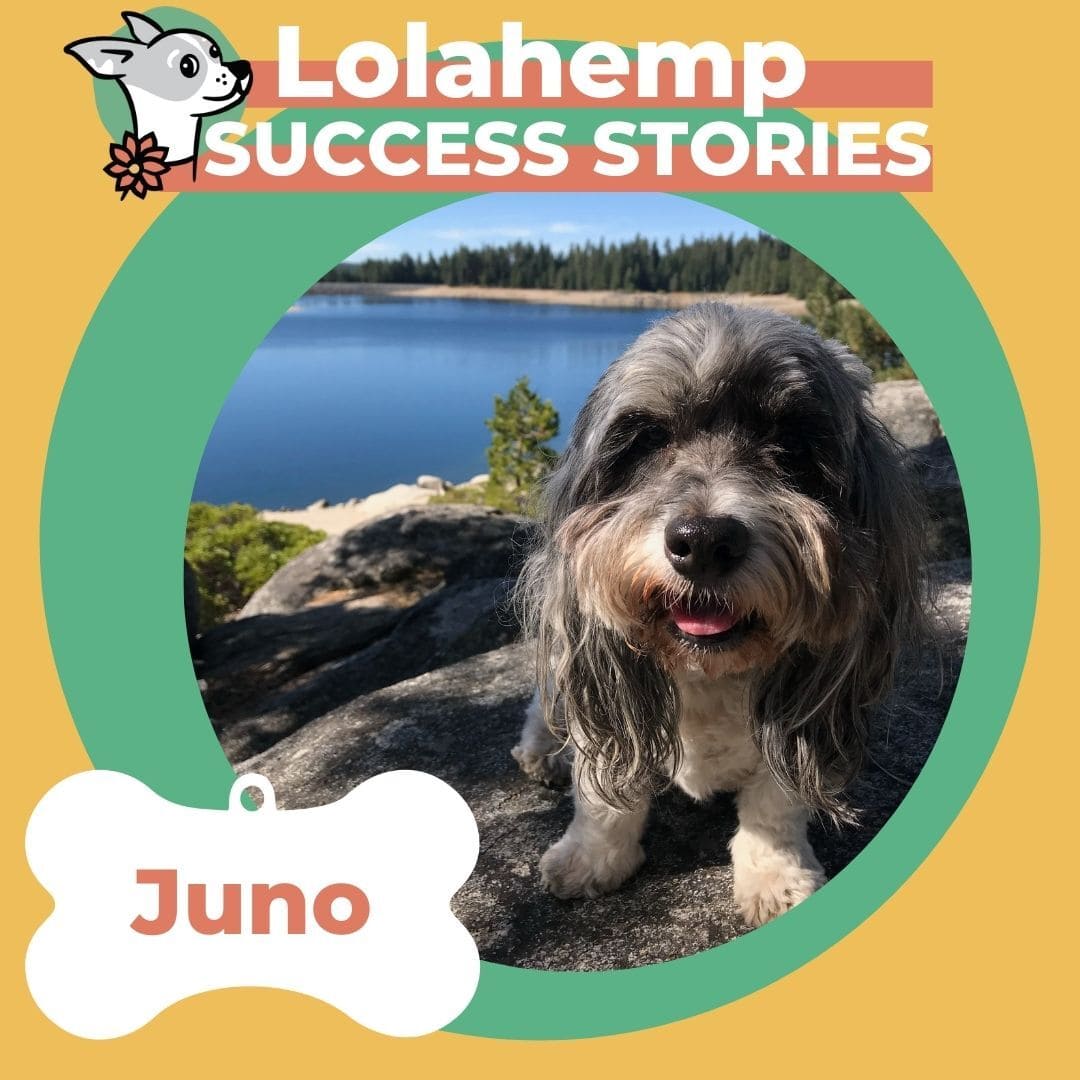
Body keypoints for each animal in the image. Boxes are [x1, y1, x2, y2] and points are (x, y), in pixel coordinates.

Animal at [514, 304, 928, 928]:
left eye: (791, 444)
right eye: (647, 439)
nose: (704, 541)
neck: (708, 670)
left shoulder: (799, 717)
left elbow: (775, 805)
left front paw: (776, 876)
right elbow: (603, 793)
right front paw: (590, 859)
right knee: (546, 705)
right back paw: (543, 752)